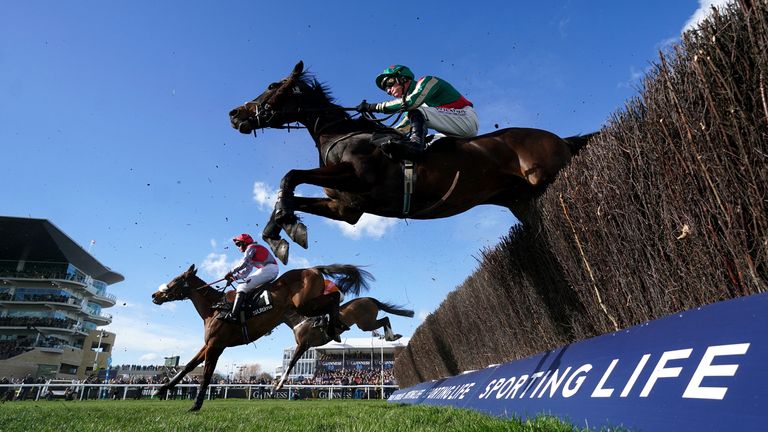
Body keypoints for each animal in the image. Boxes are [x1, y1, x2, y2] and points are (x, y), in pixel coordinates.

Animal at [151, 262, 372, 410]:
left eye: (177, 280)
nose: (155, 295)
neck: (214, 308)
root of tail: (313, 269)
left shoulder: (216, 345)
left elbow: (206, 374)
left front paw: (196, 405)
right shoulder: (209, 344)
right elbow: (188, 366)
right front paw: (160, 389)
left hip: (304, 304)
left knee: (334, 297)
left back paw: (335, 325)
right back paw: (333, 326)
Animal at [228, 60, 592, 264]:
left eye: (272, 86)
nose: (234, 114)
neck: (341, 134)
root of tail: (561, 139)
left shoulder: (358, 177)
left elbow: (290, 176)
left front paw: (287, 227)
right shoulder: (347, 208)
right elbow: (289, 192)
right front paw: (279, 231)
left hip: (547, 180)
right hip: (523, 202)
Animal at [276, 298, 414, 390]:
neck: (301, 321)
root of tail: (368, 298)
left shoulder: (304, 345)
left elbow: (291, 362)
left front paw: (279, 385)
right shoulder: (304, 346)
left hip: (366, 323)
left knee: (385, 319)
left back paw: (391, 336)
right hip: (366, 323)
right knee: (385, 320)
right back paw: (392, 337)